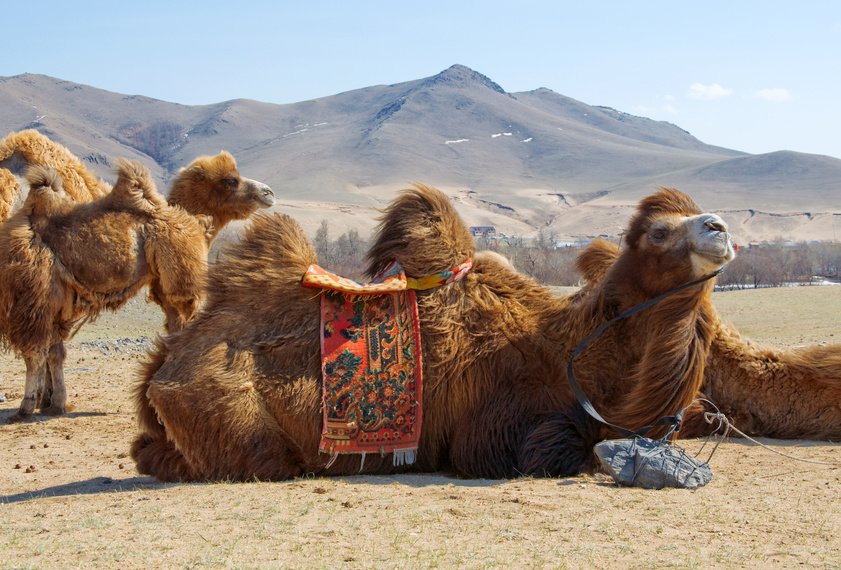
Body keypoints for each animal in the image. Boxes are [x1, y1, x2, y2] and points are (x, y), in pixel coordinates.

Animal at [131, 185, 736, 480]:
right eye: (658, 232)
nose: (720, 227)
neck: (569, 352)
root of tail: (160, 370)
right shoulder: (499, 433)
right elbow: (552, 452)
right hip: (234, 418)